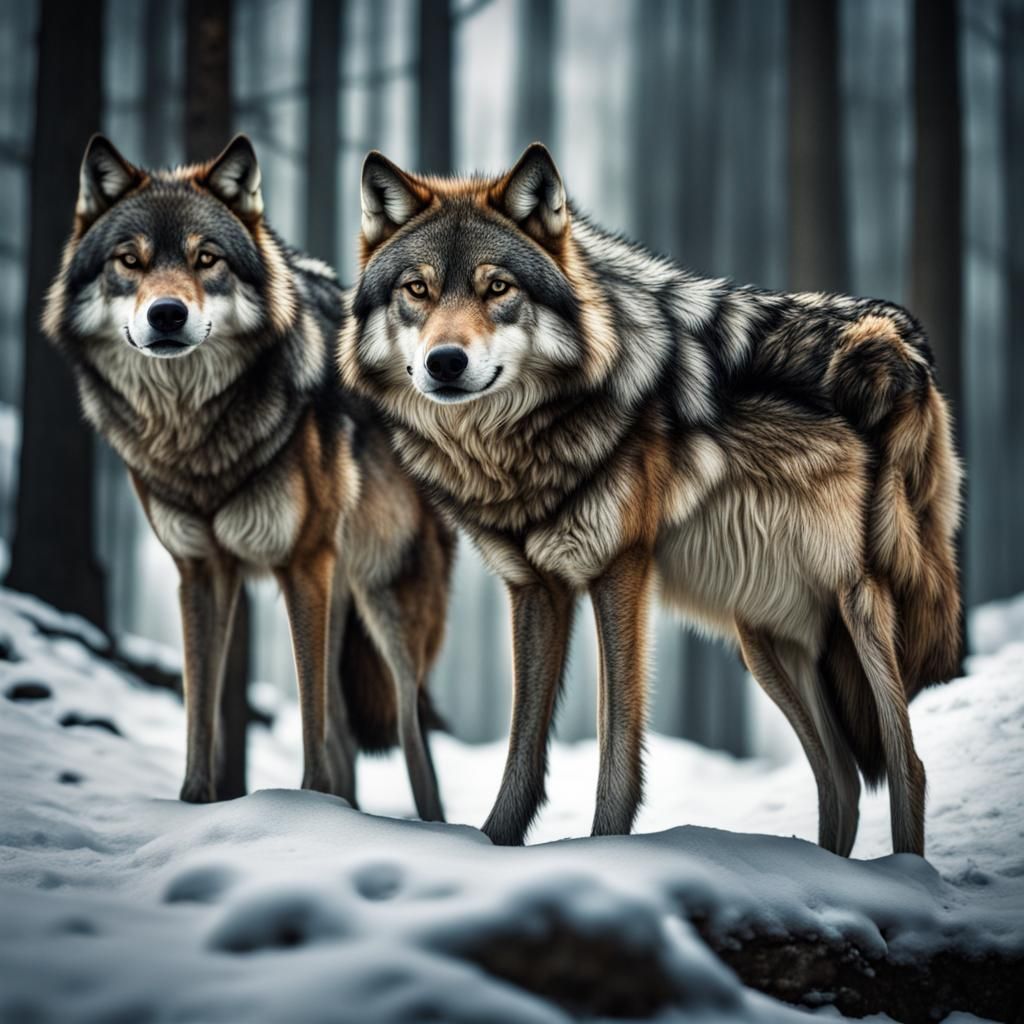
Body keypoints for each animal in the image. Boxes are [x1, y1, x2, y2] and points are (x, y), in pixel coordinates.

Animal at [43, 134, 453, 820]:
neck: (194, 436)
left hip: (387, 607)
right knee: (346, 735)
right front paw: (194, 804)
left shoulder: (301, 563)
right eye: (130, 260)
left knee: (409, 740)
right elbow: (200, 710)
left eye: (206, 258)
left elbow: (309, 723)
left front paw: (306, 806)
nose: (167, 314)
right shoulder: (200, 569)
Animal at [340, 143, 962, 856]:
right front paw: (494, 845)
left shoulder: (620, 570)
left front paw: (604, 848)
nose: (445, 361)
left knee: (907, 763)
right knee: (842, 780)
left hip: (858, 600)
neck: (514, 446)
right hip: (764, 641)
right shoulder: (534, 587)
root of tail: (902, 341)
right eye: (417, 289)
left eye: (498, 288)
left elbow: (617, 748)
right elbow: (523, 752)